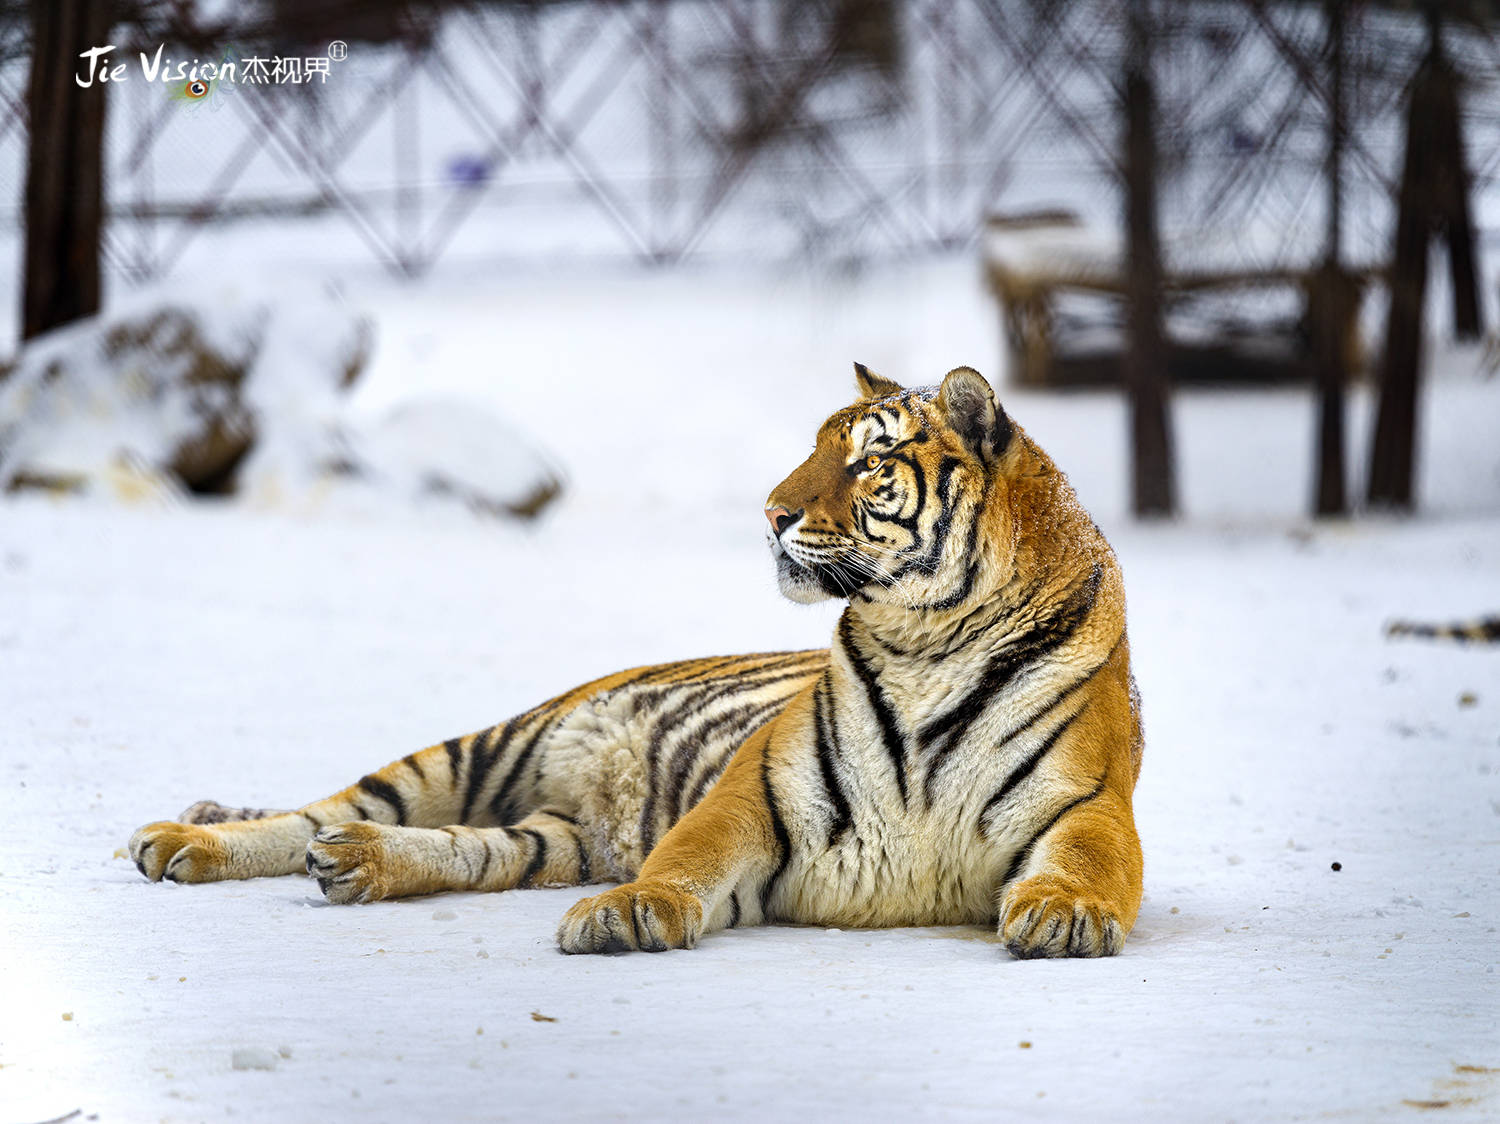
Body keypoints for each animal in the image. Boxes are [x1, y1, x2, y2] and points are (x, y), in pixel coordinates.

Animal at [132, 366, 1146, 954]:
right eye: (816, 446)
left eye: (868, 462)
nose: (770, 511)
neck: (927, 639)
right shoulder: (758, 790)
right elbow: (687, 854)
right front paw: (627, 913)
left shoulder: (1090, 804)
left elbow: (1089, 863)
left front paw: (1063, 913)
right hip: (489, 745)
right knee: (316, 812)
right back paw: (182, 839)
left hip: (551, 836)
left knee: (456, 847)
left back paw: (356, 864)